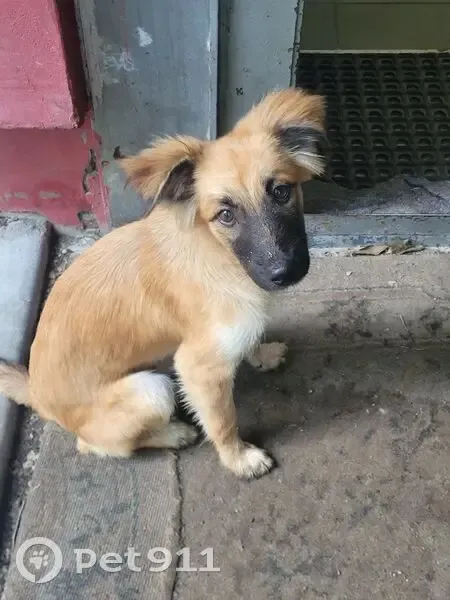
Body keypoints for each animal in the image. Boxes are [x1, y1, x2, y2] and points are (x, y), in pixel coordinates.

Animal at [0, 88, 325, 479]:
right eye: (226, 215)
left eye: (281, 192)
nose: (285, 271)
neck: (218, 253)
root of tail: (36, 393)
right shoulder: (199, 369)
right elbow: (223, 421)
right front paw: (238, 459)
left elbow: (250, 338)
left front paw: (261, 354)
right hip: (151, 389)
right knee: (97, 445)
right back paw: (174, 434)